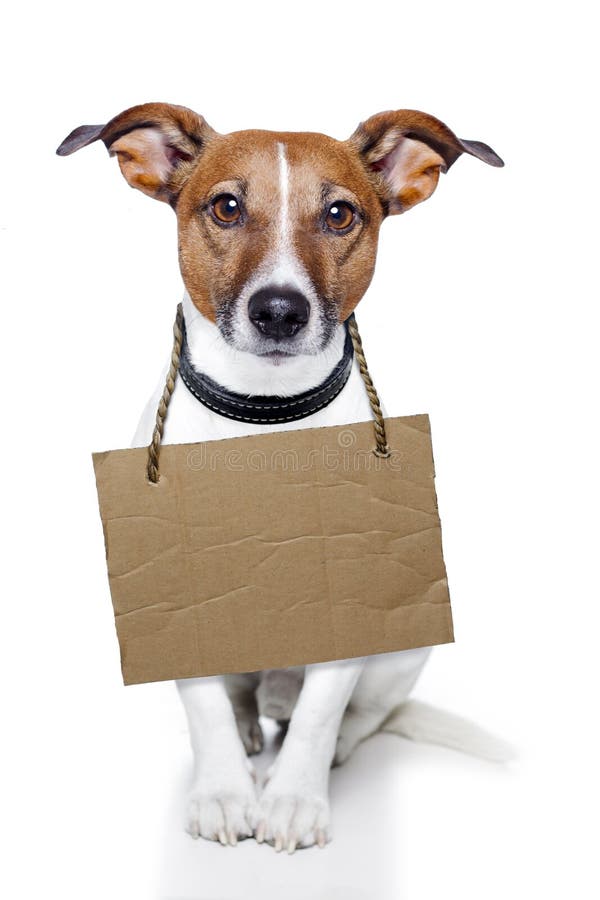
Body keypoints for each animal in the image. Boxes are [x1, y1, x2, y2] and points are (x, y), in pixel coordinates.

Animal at [58, 103, 504, 852]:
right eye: (226, 207)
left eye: (340, 214)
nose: (278, 311)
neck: (266, 424)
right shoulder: (175, 596)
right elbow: (204, 702)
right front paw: (221, 793)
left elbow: (322, 714)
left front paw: (293, 799)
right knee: (237, 696)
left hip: (402, 652)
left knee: (358, 716)